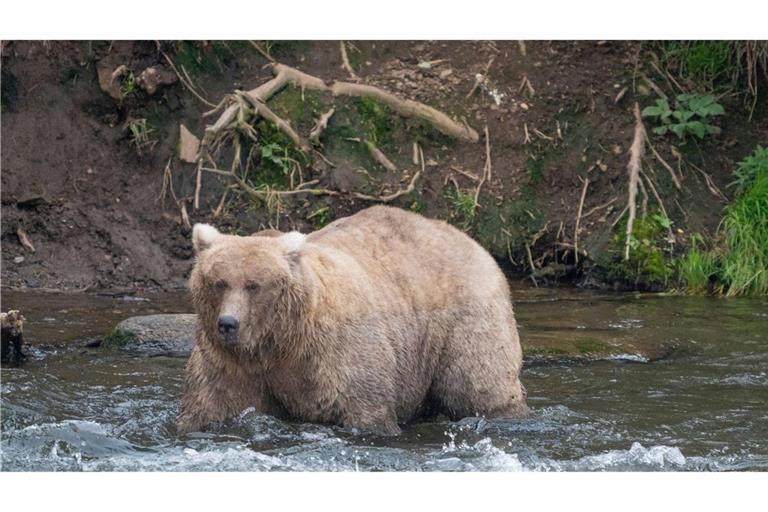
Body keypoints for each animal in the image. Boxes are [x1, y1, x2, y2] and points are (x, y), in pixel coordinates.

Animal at [178, 205, 528, 436]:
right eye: (219, 282)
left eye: (254, 285)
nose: (228, 324)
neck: (280, 342)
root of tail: (472, 241)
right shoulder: (230, 364)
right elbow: (211, 405)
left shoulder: (337, 353)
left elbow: (365, 407)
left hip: (463, 319)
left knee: (479, 383)